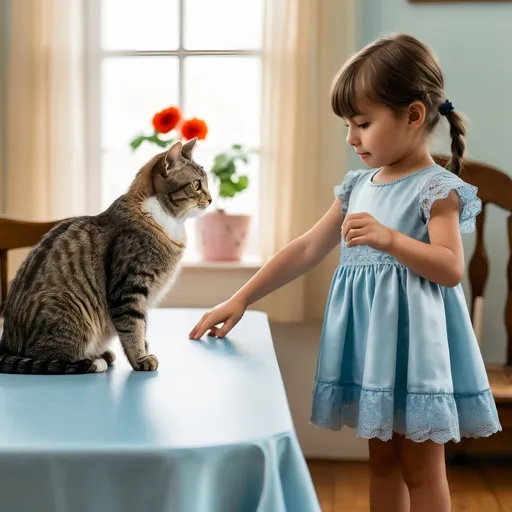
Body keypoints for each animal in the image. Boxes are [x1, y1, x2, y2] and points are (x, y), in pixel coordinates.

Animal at [0, 138, 212, 374]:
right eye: (197, 185)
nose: (211, 200)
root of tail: (6, 345)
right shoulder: (129, 288)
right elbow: (132, 327)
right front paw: (141, 359)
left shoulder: (144, 297)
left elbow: (143, 326)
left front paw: (144, 348)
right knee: (48, 357)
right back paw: (92, 360)